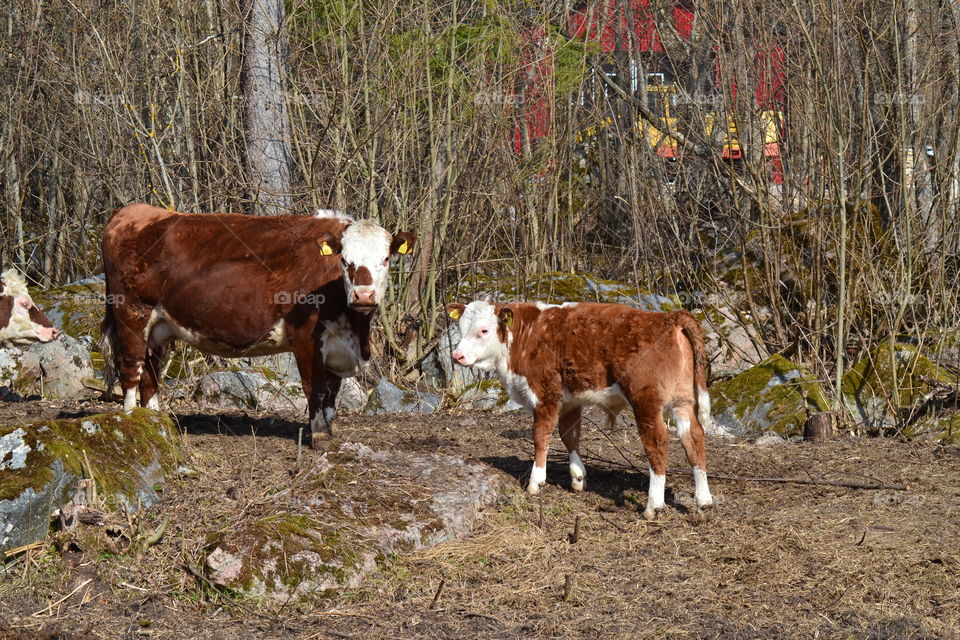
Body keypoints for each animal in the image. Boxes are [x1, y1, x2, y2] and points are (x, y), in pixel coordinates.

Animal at [101, 203, 415, 448]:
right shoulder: (306, 338)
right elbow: (315, 387)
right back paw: (132, 422)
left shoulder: (337, 345)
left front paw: (330, 430)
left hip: (159, 327)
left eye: (386, 259)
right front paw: (319, 437)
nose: (364, 295)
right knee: (131, 368)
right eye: (345, 260)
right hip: (131, 314)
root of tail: (131, 211)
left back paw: (155, 424)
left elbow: (333, 391)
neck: (354, 328)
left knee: (150, 372)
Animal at [446, 300, 714, 520]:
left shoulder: (545, 394)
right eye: (460, 327)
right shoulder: (570, 401)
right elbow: (570, 435)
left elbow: (541, 437)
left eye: (483, 330)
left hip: (646, 401)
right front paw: (577, 477)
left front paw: (536, 481)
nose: (457, 356)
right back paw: (703, 501)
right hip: (683, 401)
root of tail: (669, 317)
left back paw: (653, 505)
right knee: (694, 439)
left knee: (657, 443)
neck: (524, 336)